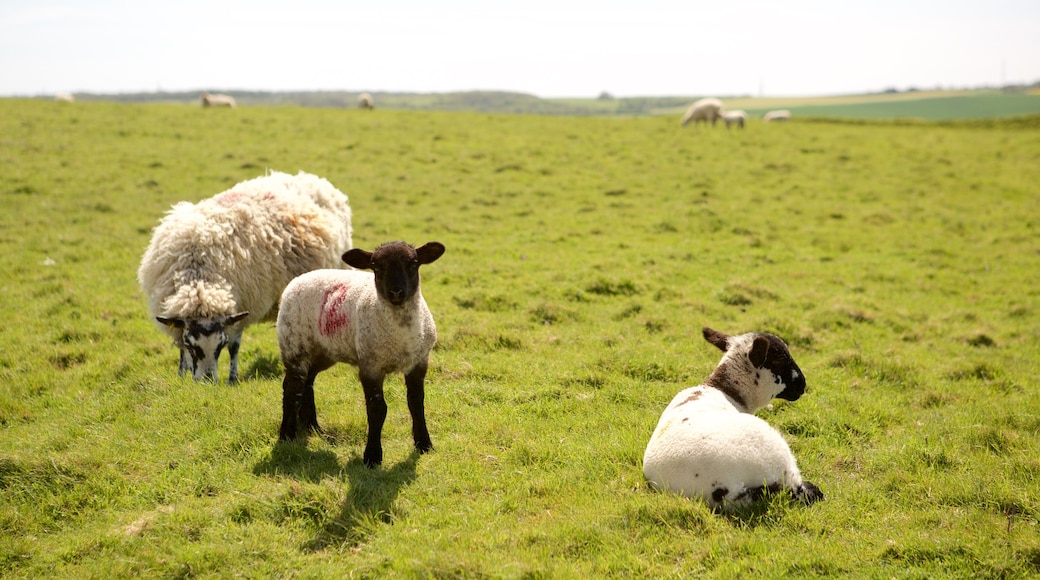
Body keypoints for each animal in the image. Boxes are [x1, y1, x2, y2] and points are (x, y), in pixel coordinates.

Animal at [137, 170, 353, 384]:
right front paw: (182, 373)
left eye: (220, 346)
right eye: (191, 345)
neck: (199, 279)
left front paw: (232, 378)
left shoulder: (242, 304)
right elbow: (180, 348)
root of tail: (311, 178)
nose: (207, 381)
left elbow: (234, 346)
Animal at [274, 240, 445, 467]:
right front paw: (372, 456)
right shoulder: (370, 365)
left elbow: (416, 403)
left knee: (307, 383)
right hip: (295, 345)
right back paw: (287, 435)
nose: (396, 292)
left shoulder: (419, 362)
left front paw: (424, 444)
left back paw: (312, 427)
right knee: (292, 388)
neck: (401, 331)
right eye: (376, 267)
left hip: (323, 351)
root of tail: (299, 279)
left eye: (413, 263)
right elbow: (377, 409)